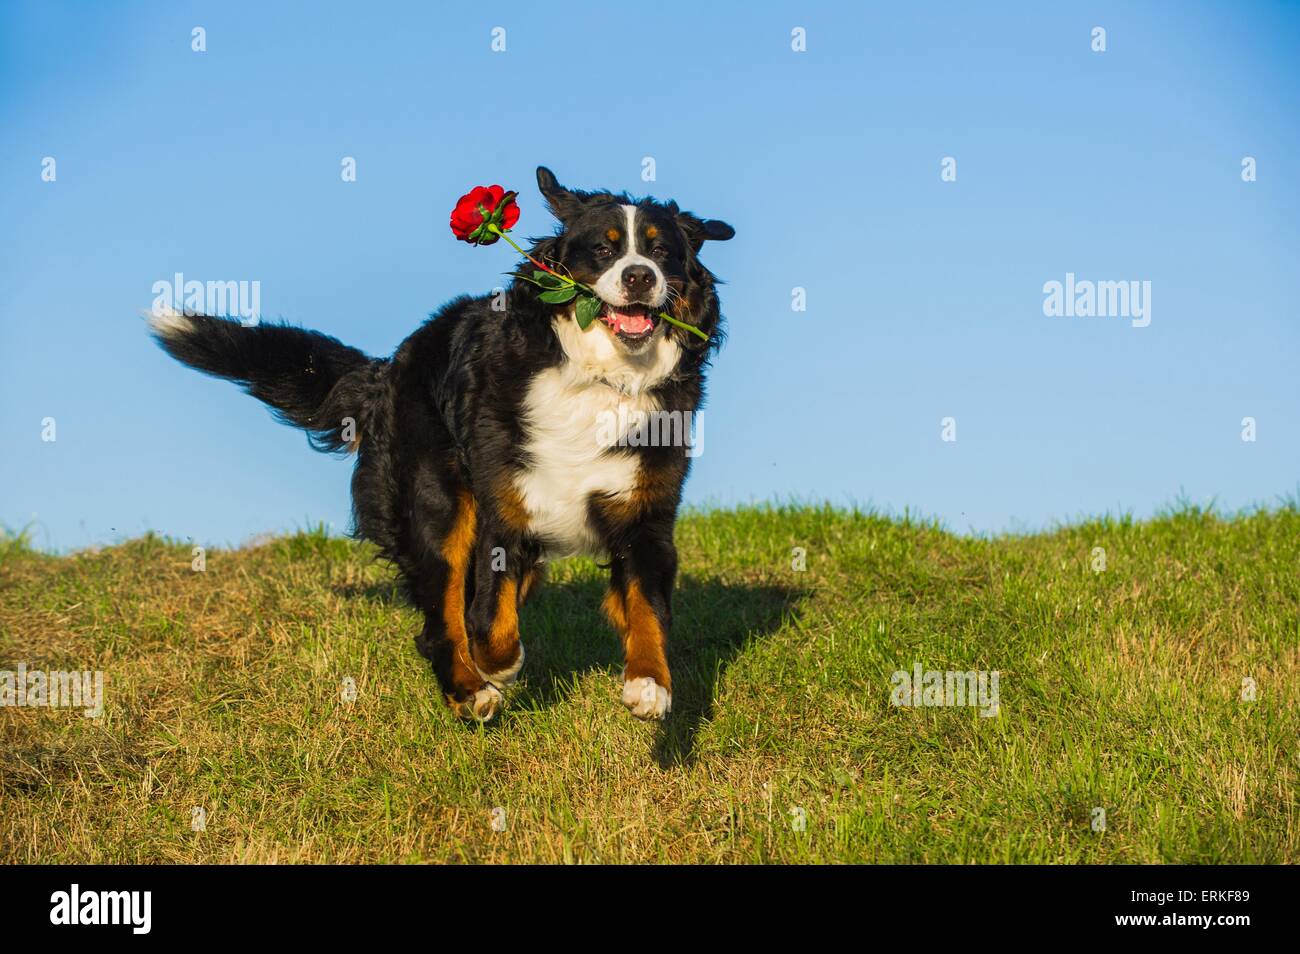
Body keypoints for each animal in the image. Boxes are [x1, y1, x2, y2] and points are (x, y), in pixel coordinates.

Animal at [149, 167, 733, 722]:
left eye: (661, 252)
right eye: (605, 249)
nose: (640, 276)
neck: (601, 378)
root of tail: (389, 365)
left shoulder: (645, 511)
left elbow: (648, 608)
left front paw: (649, 686)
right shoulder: (505, 508)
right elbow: (490, 623)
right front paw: (497, 666)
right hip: (438, 500)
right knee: (442, 616)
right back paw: (470, 689)